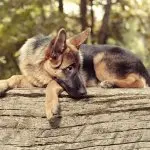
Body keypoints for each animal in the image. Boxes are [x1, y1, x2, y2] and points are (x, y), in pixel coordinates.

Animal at [0, 27, 150, 120]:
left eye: (79, 67)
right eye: (69, 68)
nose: (84, 93)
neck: (40, 66)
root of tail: (140, 63)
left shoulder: (52, 82)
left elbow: (53, 82)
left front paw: (51, 104)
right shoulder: (34, 80)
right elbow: (15, 77)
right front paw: (2, 84)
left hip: (100, 60)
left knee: (138, 81)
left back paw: (110, 83)